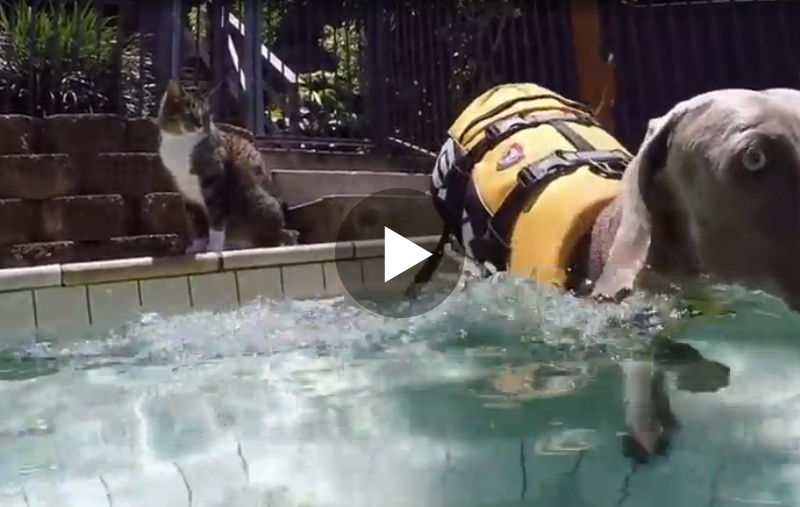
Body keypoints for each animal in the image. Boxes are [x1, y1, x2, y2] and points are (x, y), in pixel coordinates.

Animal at [155, 80, 298, 254]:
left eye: (206, 116)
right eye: (190, 113)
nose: (200, 125)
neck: (180, 142)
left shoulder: (214, 182)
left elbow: (216, 218)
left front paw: (213, 248)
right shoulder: (184, 188)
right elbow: (196, 220)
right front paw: (198, 246)